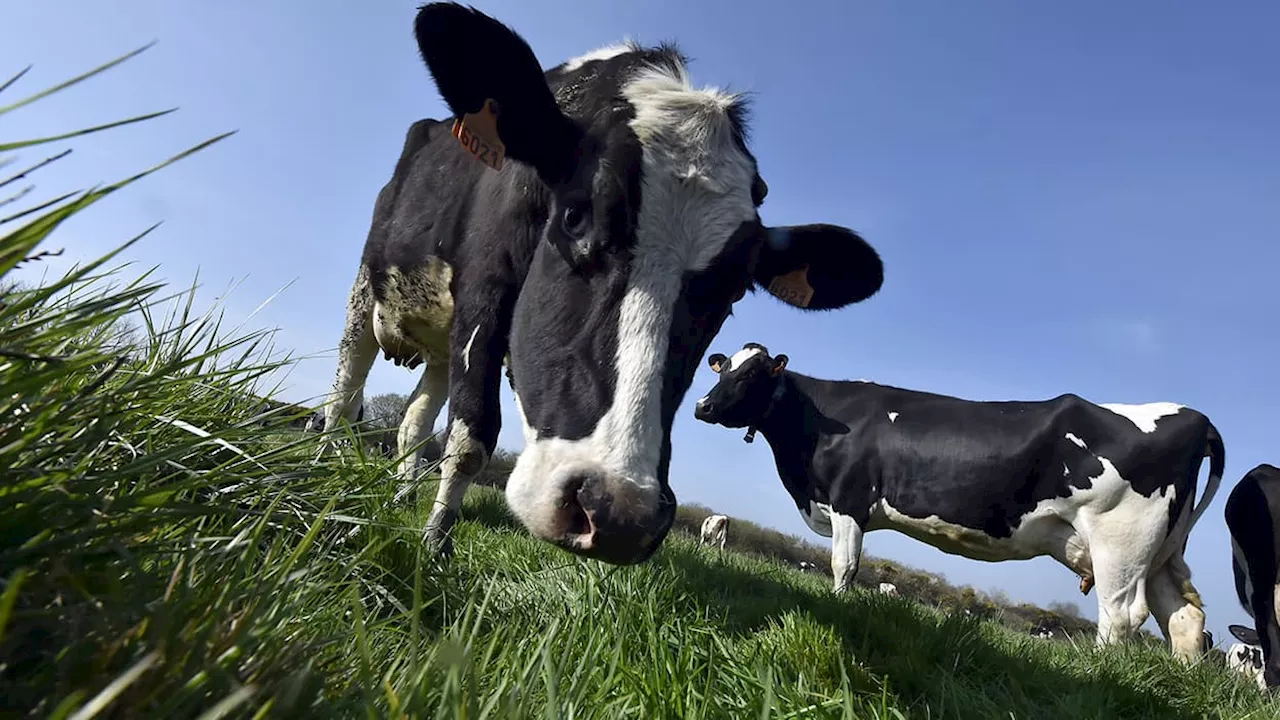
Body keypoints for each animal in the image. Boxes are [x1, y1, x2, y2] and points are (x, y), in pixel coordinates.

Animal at [317, 1, 890, 561]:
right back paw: (323, 474)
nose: (617, 512)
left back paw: (401, 496)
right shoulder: (484, 297)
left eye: (735, 289)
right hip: (366, 290)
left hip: (440, 341)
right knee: (343, 395)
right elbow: (471, 438)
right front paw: (435, 547)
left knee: (413, 421)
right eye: (575, 216)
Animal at [696, 338, 1223, 661]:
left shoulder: (849, 500)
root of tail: (1194, 416)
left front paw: (837, 608)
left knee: (1121, 615)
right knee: (1184, 616)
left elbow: (844, 566)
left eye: (752, 376)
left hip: (1120, 543)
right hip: (1160, 551)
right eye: (723, 369)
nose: (702, 407)